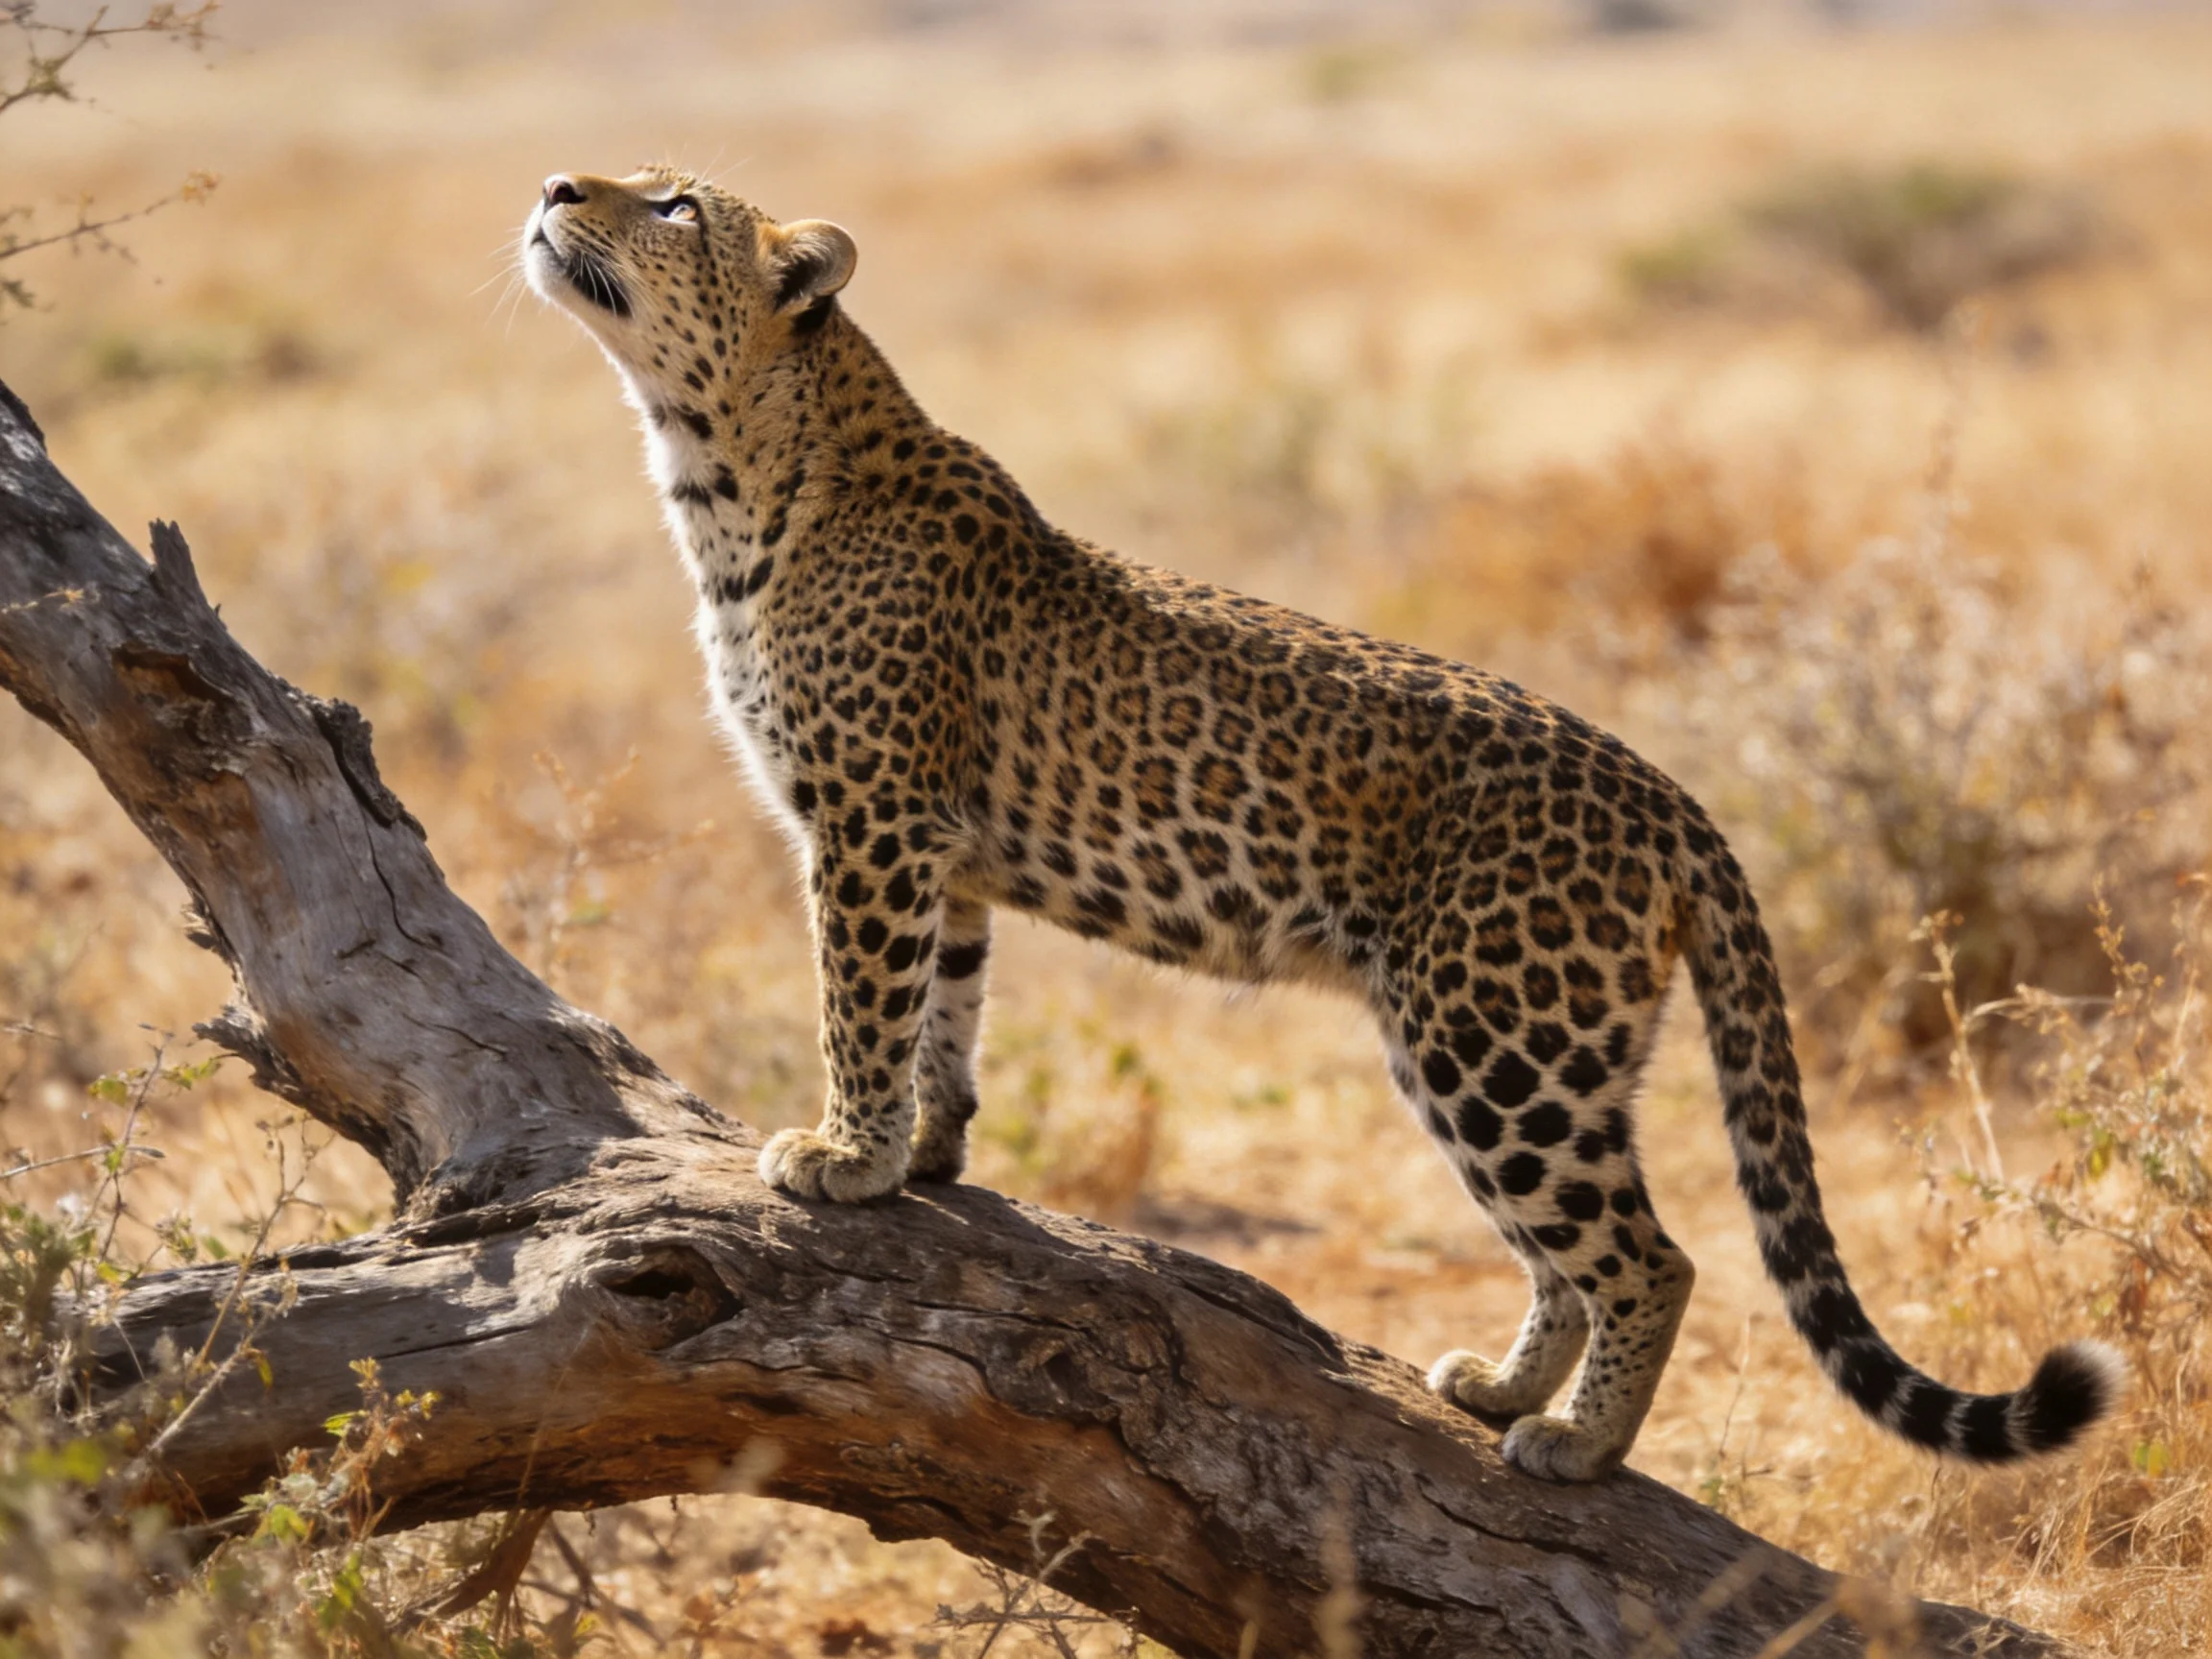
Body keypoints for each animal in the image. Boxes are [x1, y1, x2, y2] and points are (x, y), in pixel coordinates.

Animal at [522, 166, 2122, 1482]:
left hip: (1499, 1042)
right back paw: (1501, 1391)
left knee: (1648, 1256)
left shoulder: (870, 826)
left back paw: (1575, 1447)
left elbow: (861, 1001)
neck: (725, 474)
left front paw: (841, 1157)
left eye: (674, 203)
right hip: (1510, 1049)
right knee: (1575, 1252)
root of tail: (1675, 803)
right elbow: (945, 1015)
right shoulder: (941, 854)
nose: (552, 187)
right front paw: (922, 1157)